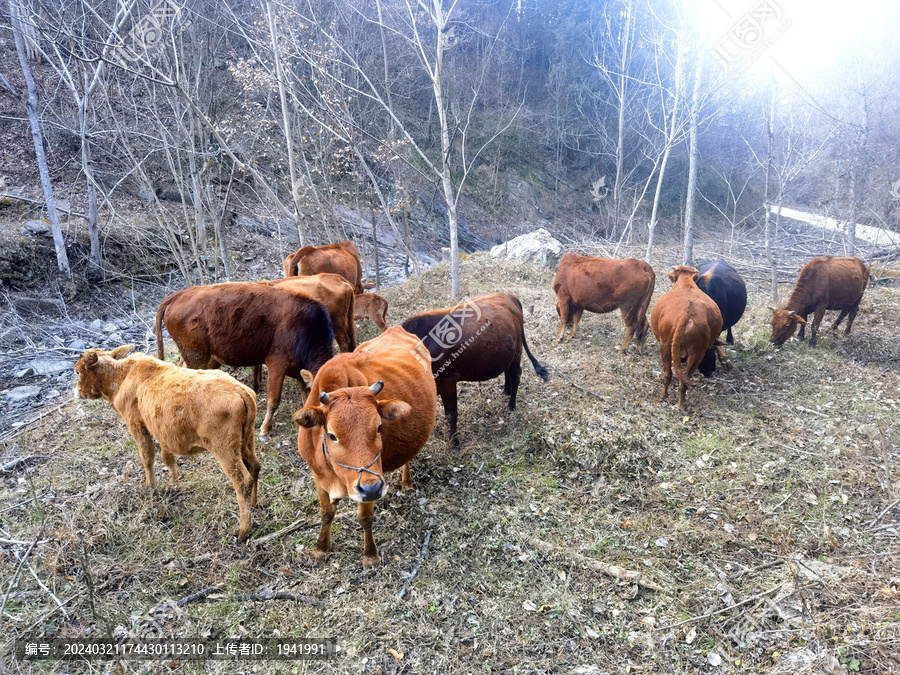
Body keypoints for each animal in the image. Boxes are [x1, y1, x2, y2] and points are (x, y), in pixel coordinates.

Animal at [73, 348, 260, 544]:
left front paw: (149, 486)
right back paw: (254, 504)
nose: (75, 392)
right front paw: (173, 484)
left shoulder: (137, 426)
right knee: (255, 467)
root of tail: (240, 390)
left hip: (224, 448)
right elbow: (168, 458)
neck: (121, 376)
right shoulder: (163, 432)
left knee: (242, 481)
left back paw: (244, 531)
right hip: (246, 440)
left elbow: (147, 457)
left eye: (77, 371)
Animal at [156, 282, 336, 436]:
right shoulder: (277, 364)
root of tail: (177, 295)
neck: (306, 329)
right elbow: (273, 400)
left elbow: (304, 392)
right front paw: (264, 428)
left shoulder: (298, 369)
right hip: (196, 356)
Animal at [294, 328, 438, 572]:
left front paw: (370, 555)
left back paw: (407, 482)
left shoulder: (372, 481)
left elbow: (365, 518)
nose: (371, 489)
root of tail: (397, 329)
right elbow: (326, 513)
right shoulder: (318, 475)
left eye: (379, 427)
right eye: (332, 435)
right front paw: (320, 549)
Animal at [400, 292, 548, 446]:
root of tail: (508, 295)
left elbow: (451, 414)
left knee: (516, 375)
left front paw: (454, 441)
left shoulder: (447, 381)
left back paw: (511, 406)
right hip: (508, 352)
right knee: (508, 371)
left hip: (517, 352)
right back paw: (506, 391)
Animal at [648, 266, 724, 410]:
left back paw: (664, 395)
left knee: (669, 373)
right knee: (686, 377)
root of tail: (687, 315)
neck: (686, 283)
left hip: (666, 345)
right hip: (697, 353)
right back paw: (681, 404)